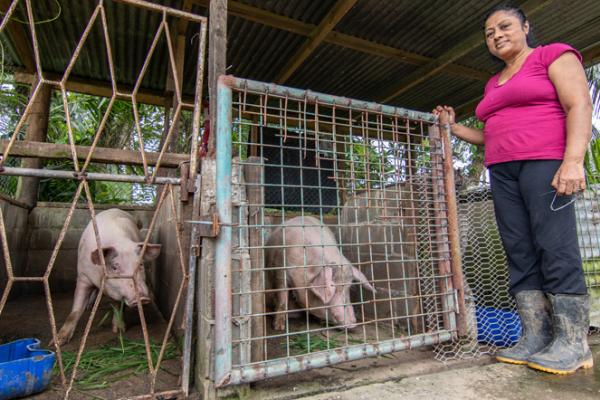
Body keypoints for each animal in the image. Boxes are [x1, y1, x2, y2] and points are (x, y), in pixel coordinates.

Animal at [54, 208, 161, 346]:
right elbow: (75, 311)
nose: (142, 298)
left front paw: (119, 330)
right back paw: (89, 306)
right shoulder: (83, 276)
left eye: (141, 264)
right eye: (115, 267)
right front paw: (57, 342)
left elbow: (117, 305)